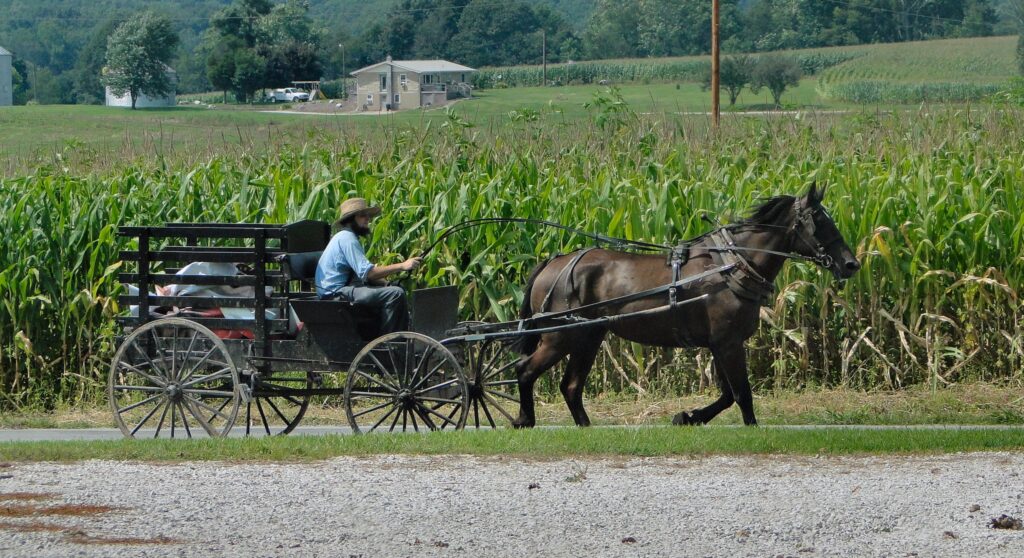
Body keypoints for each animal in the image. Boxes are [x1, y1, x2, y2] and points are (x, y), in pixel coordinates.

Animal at [516, 184, 860, 425]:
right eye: (819, 220)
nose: (851, 264)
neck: (732, 265)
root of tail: (553, 263)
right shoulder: (727, 342)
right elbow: (741, 393)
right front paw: (748, 426)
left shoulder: (719, 343)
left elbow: (727, 394)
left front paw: (689, 417)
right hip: (559, 337)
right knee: (525, 370)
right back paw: (524, 419)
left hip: (588, 337)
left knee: (571, 386)